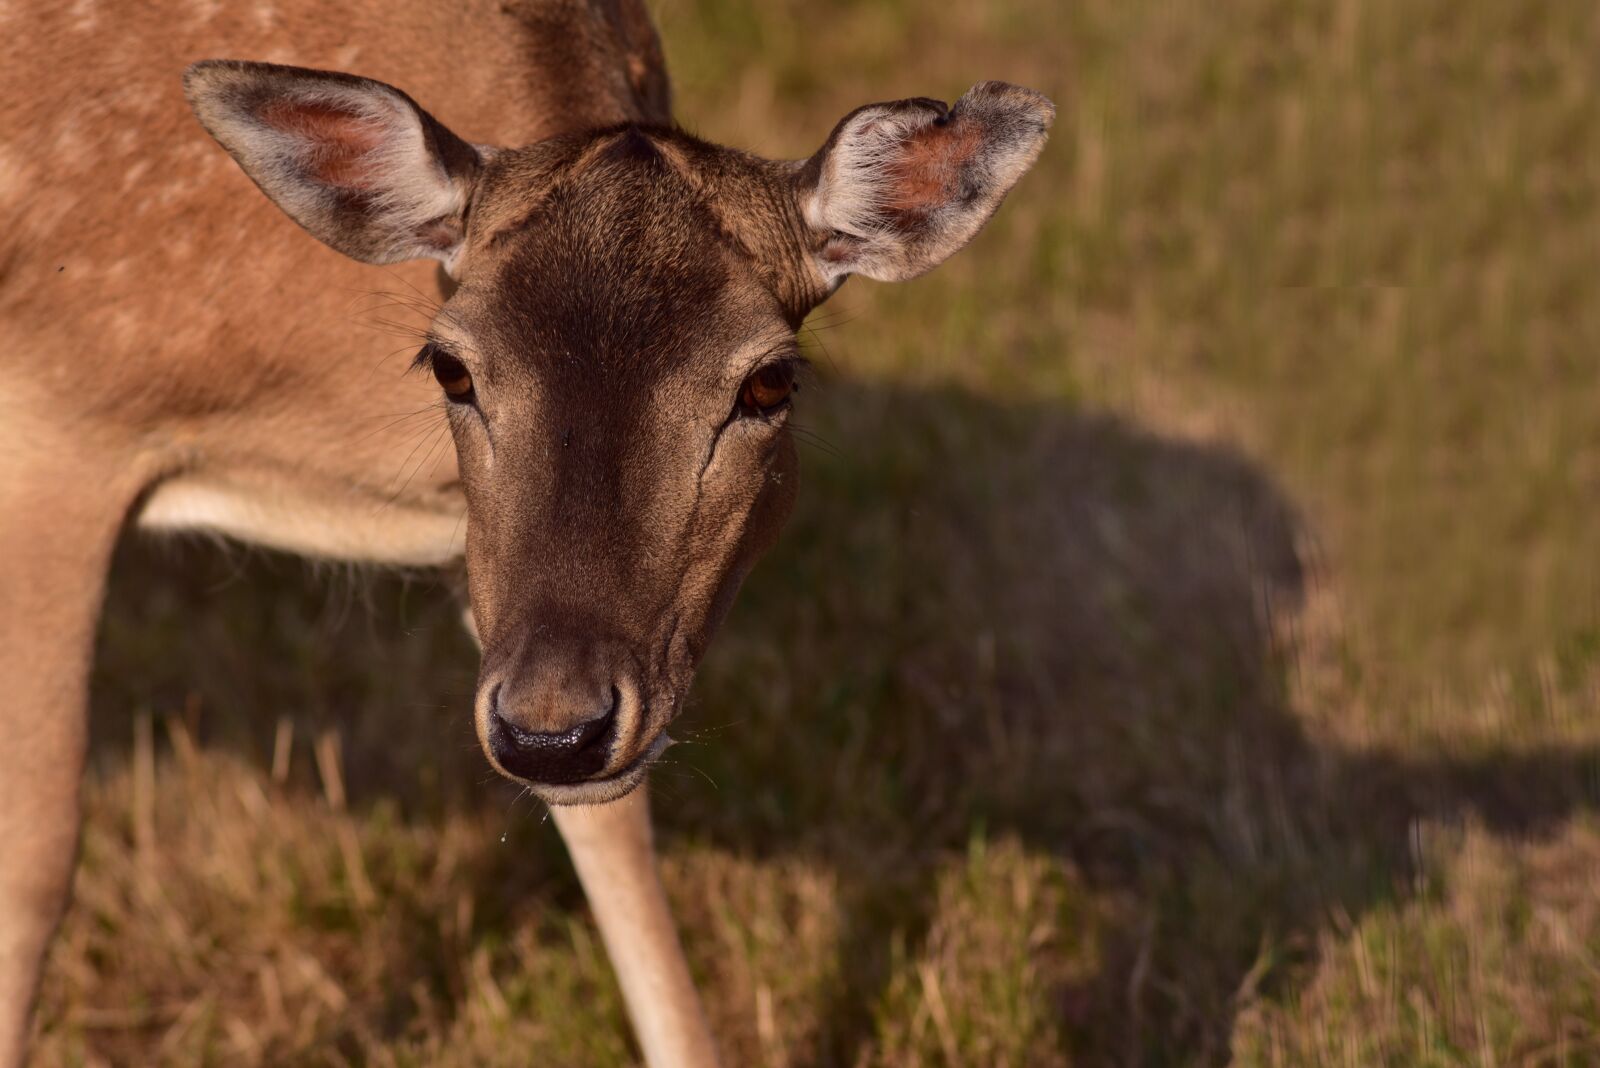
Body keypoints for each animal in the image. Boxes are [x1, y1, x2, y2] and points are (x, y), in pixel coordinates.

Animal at [0, 1, 1051, 1063]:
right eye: (449, 365)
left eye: (769, 382)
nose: (555, 735)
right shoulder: (57, 421)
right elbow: (36, 861)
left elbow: (613, 837)